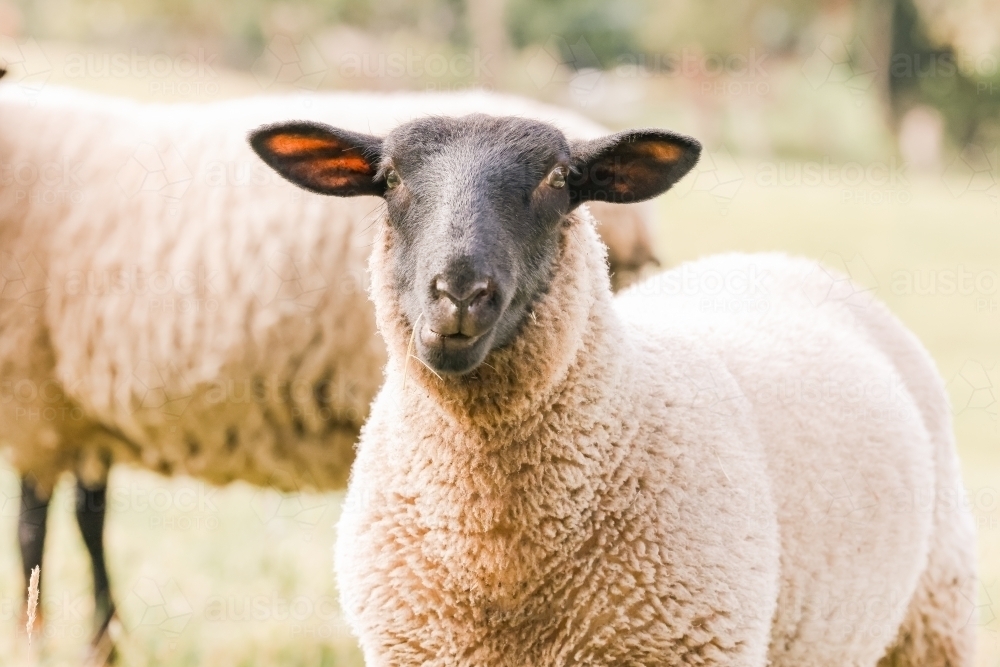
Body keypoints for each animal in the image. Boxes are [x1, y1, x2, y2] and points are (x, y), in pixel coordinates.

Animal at [0, 81, 660, 656]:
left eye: (557, 180)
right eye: (389, 179)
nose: (460, 293)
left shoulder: (37, 400)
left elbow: (33, 532)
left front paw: (38, 643)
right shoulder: (72, 408)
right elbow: (87, 519)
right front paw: (102, 644)